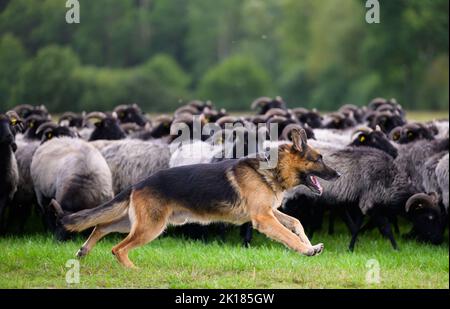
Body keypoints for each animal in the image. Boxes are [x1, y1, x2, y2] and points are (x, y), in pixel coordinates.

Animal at [54, 128, 340, 268]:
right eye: (319, 159)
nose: (338, 174)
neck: (274, 170)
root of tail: (140, 183)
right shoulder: (263, 218)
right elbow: (288, 235)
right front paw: (306, 249)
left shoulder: (269, 212)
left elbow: (295, 223)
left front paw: (311, 244)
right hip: (150, 228)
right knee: (118, 248)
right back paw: (132, 269)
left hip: (134, 222)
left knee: (101, 226)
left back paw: (84, 251)